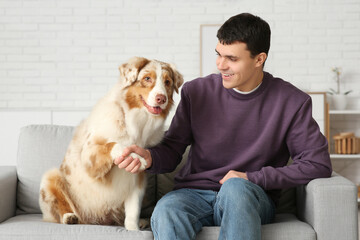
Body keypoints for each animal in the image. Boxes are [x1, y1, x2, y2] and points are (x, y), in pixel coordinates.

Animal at [39, 56, 184, 231]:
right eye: (147, 78)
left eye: (168, 82)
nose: (161, 98)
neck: (136, 123)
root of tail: (95, 220)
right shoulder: (89, 155)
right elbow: (115, 144)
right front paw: (137, 157)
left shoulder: (137, 180)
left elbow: (133, 210)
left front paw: (134, 229)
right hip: (51, 177)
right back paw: (69, 216)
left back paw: (142, 222)